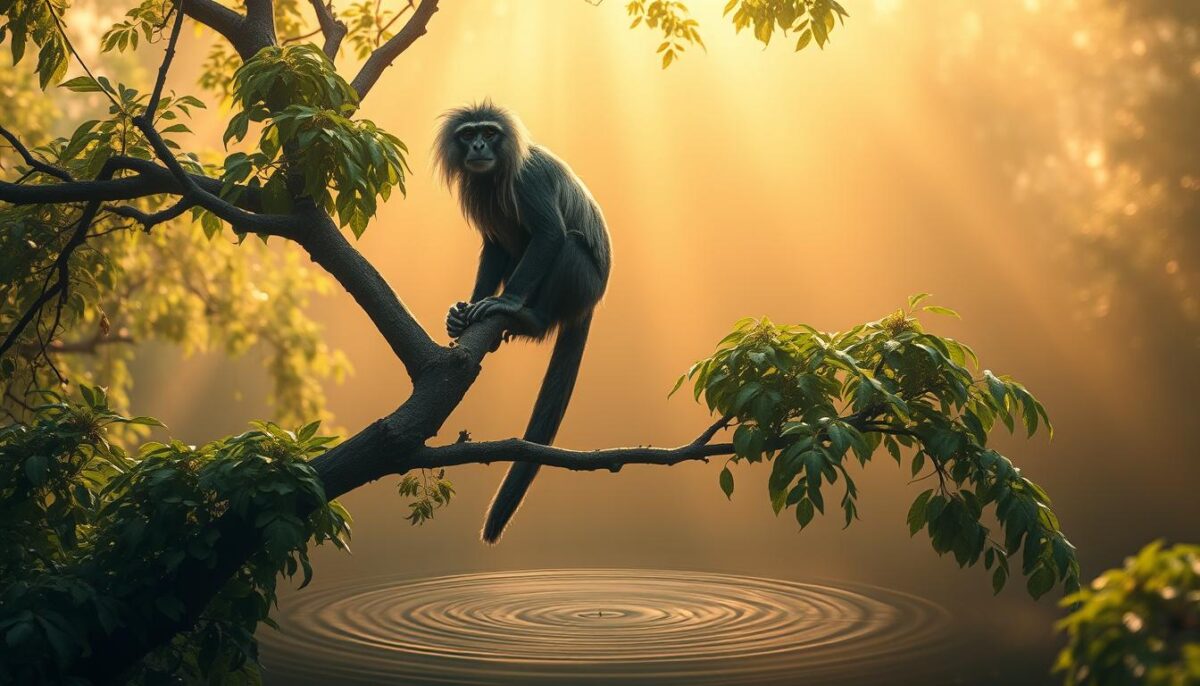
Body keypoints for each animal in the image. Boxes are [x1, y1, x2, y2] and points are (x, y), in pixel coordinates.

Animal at [434, 101, 612, 544]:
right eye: (468, 135)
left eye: (489, 133)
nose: (478, 146)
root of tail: (592, 302)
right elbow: (494, 246)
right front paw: (464, 312)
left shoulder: (529, 181)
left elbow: (549, 234)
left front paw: (506, 302)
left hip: (582, 282)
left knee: (568, 243)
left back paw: (527, 316)